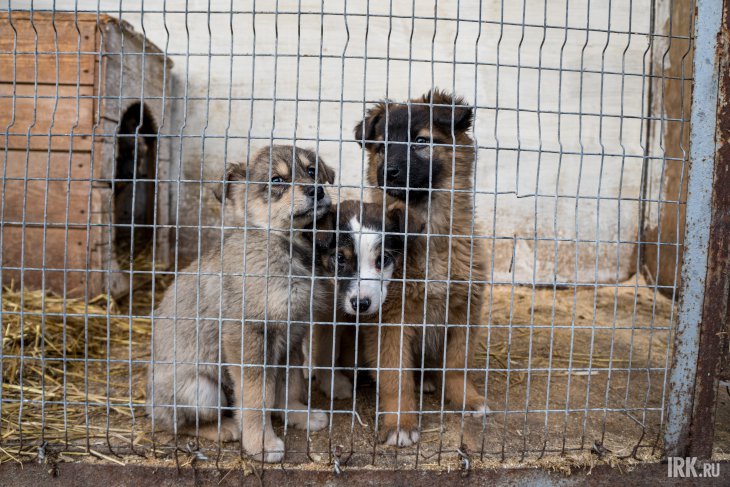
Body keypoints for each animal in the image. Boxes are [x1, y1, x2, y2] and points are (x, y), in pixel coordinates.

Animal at [148, 144, 336, 462]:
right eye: (276, 181)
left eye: (312, 171)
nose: (317, 190)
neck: (286, 245)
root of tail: (149, 404)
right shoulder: (249, 336)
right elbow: (257, 395)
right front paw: (262, 443)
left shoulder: (293, 334)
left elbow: (290, 384)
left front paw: (299, 415)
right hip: (203, 391)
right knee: (178, 424)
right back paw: (226, 428)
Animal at [354, 90, 490, 446]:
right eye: (382, 146)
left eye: (420, 141)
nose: (388, 172)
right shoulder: (390, 320)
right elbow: (396, 377)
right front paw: (401, 422)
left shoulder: (464, 309)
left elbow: (457, 364)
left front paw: (466, 399)